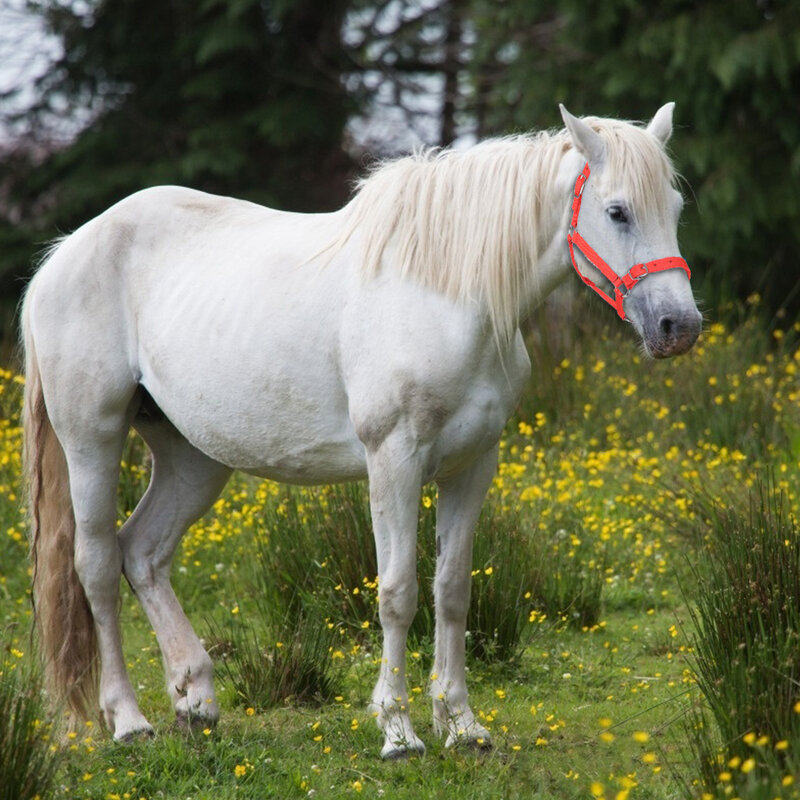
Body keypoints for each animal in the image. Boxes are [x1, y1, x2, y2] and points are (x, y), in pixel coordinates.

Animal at [21, 104, 700, 756]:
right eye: (617, 211)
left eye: (675, 209)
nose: (679, 326)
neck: (448, 294)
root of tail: (64, 254)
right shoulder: (393, 459)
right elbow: (397, 593)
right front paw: (398, 732)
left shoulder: (472, 465)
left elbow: (452, 590)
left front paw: (463, 726)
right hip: (93, 439)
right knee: (97, 566)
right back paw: (129, 721)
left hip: (194, 458)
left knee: (144, 553)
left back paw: (197, 701)